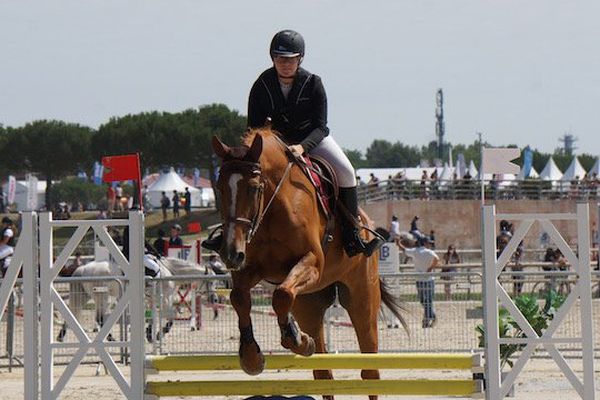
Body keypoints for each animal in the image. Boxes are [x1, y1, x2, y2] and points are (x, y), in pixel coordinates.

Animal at [212, 129, 408, 400]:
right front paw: (252, 357)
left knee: (370, 370)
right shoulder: (253, 266)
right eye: (219, 189)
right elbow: (240, 297)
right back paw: (306, 341)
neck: (274, 204)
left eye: (253, 189)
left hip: (361, 298)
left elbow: (282, 294)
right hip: (309, 304)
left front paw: (295, 339)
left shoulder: (312, 262)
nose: (230, 254)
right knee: (323, 373)